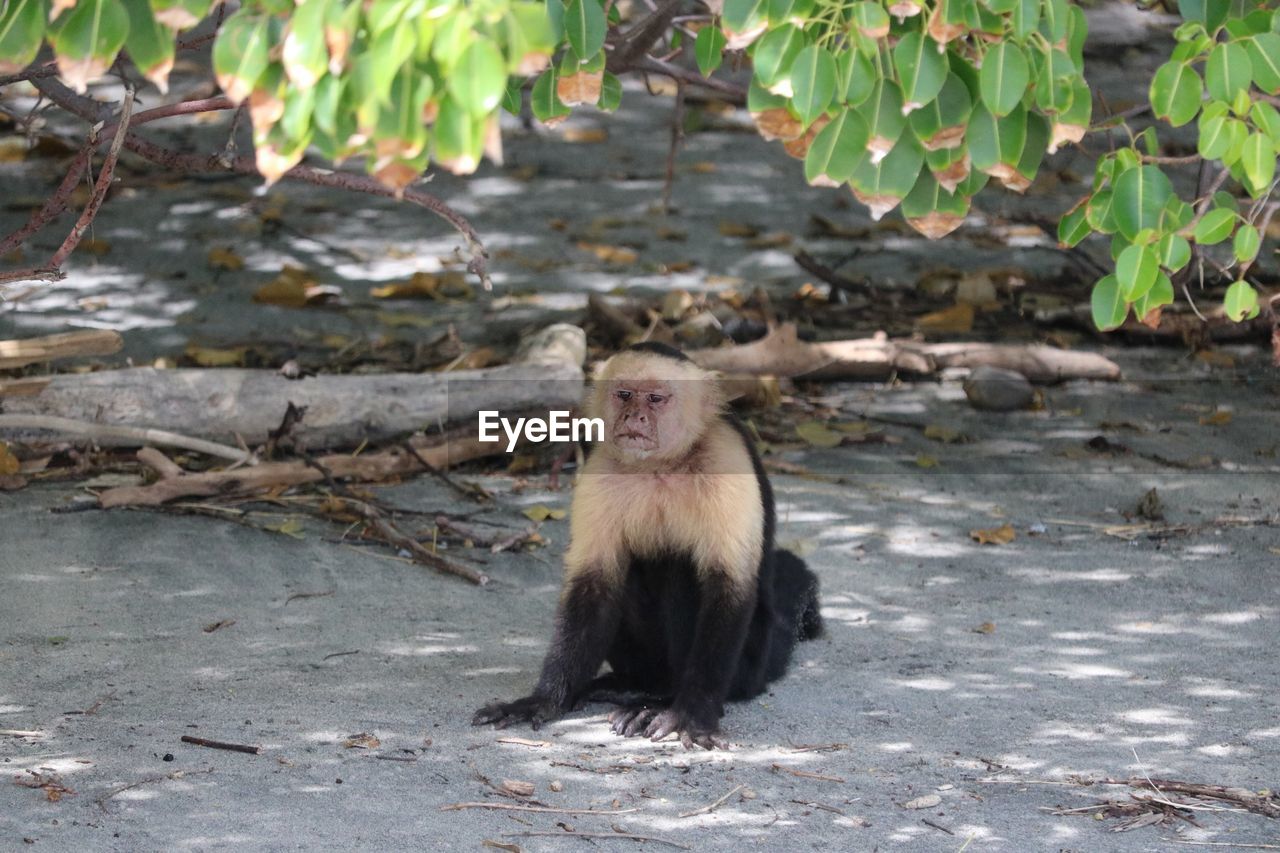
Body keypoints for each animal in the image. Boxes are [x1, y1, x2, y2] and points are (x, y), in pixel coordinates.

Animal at [471, 338, 819, 742]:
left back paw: (662, 699)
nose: (633, 418)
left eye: (655, 399)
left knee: (681, 569)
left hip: (748, 664)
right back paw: (633, 683)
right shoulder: (600, 465)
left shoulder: (725, 454)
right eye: (624, 394)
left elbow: (726, 587)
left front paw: (690, 711)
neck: (661, 465)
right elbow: (593, 582)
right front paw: (543, 699)